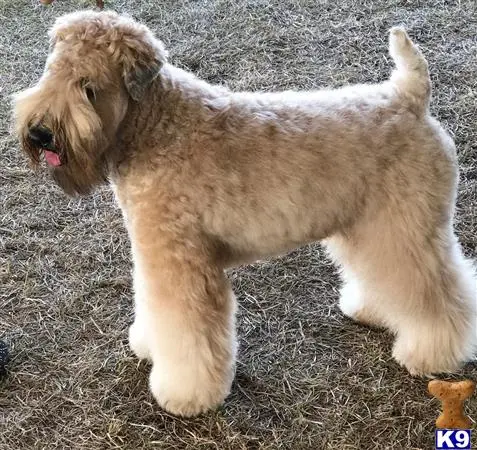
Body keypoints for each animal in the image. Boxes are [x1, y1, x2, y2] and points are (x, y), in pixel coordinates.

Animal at [13, 11, 474, 418]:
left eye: (88, 87)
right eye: (50, 70)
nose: (40, 133)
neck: (156, 127)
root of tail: (410, 98)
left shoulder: (183, 264)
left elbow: (186, 331)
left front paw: (185, 394)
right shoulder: (152, 251)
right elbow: (150, 303)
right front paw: (148, 343)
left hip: (407, 227)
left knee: (440, 292)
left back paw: (432, 353)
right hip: (371, 227)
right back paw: (373, 310)